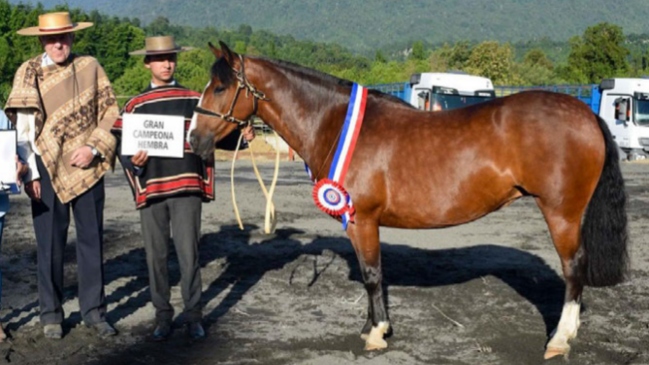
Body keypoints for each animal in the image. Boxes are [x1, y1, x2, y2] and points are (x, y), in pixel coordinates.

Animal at [187, 42, 628, 358]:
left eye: (221, 87)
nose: (195, 140)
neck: (335, 123)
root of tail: (586, 114)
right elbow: (373, 274)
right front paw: (371, 326)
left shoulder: (362, 219)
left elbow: (372, 274)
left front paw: (377, 335)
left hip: (562, 213)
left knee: (573, 269)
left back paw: (559, 340)